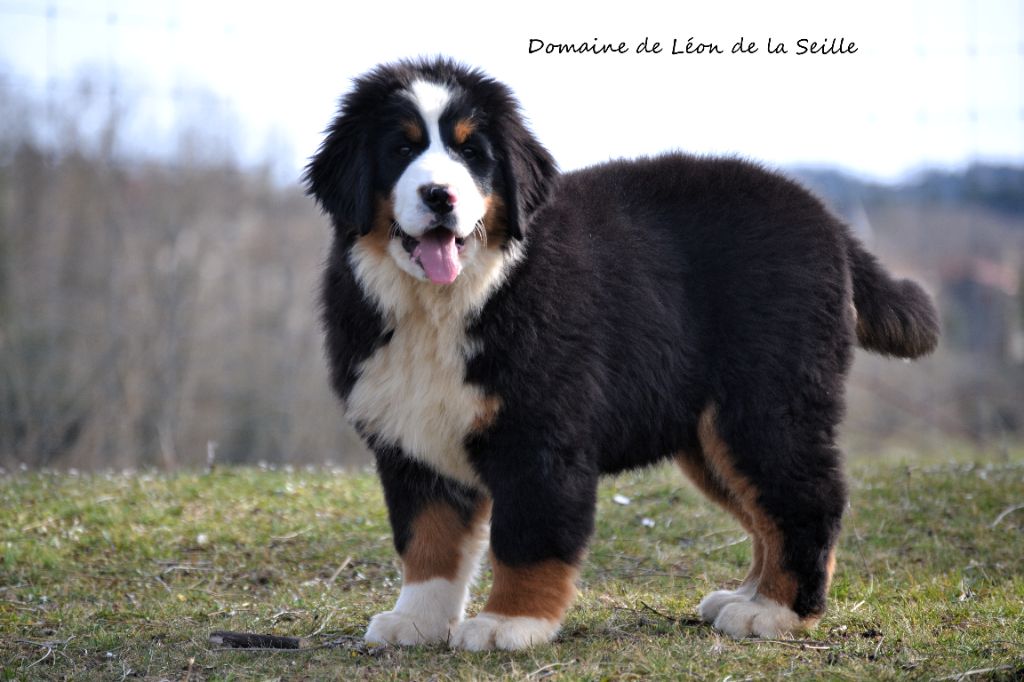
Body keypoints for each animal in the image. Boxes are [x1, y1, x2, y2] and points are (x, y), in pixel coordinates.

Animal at [301, 57, 937, 647]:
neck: (455, 299)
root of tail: (825, 220)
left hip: (763, 404)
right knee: (764, 512)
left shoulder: (541, 436)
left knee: (804, 499)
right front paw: (416, 621)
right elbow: (427, 541)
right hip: (707, 432)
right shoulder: (413, 439)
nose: (440, 194)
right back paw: (747, 596)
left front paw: (509, 623)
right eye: (401, 149)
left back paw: (774, 613)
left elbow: (528, 538)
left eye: (471, 152)